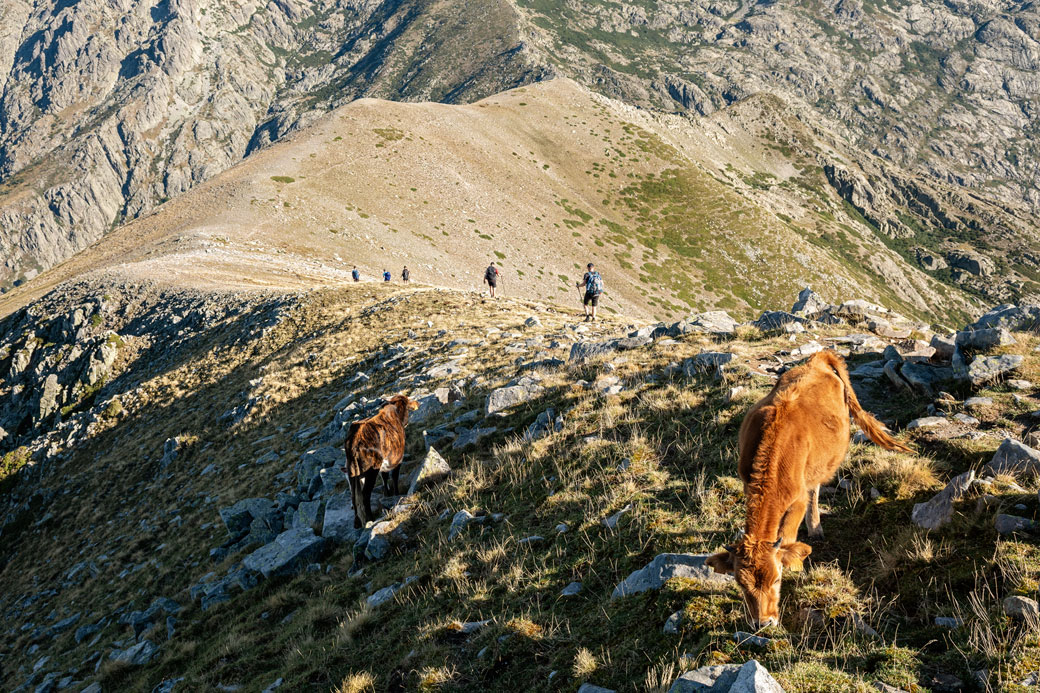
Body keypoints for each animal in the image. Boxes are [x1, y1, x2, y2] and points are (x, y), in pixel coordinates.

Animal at [345, 391, 418, 526]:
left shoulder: (384, 465)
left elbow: (385, 478)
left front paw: (387, 494)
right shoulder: (397, 459)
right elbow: (394, 476)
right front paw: (395, 494)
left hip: (352, 471)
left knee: (353, 496)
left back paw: (357, 523)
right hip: (370, 471)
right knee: (365, 494)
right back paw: (370, 519)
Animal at [707, 351, 911, 624]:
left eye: (777, 579)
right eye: (740, 584)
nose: (763, 622)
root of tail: (817, 359)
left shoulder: (797, 500)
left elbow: (789, 537)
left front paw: (796, 564)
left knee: (815, 489)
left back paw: (815, 528)